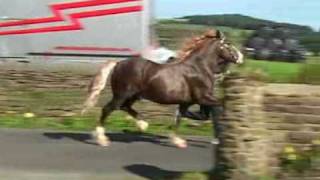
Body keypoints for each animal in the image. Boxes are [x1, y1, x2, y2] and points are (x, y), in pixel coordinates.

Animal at [82, 29, 242, 148]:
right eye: (228, 44)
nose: (240, 57)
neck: (199, 68)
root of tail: (118, 63)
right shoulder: (203, 97)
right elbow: (217, 106)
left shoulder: (187, 102)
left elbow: (182, 117)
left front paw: (178, 141)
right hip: (122, 94)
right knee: (108, 109)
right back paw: (102, 139)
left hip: (133, 95)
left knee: (125, 107)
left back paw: (143, 125)